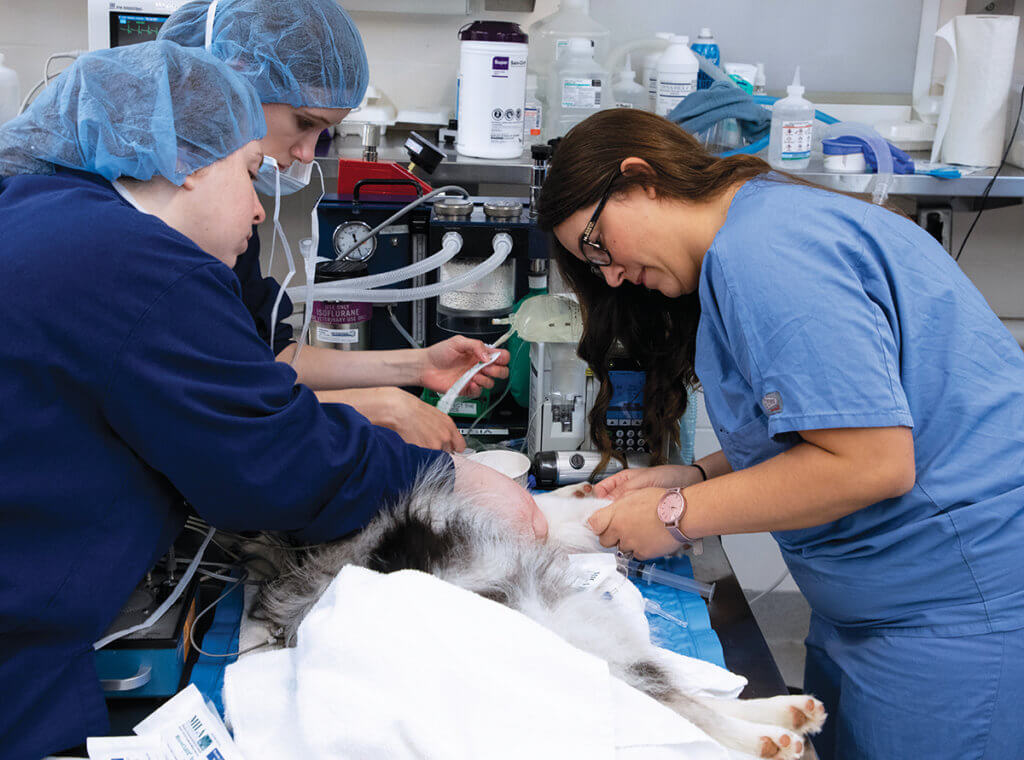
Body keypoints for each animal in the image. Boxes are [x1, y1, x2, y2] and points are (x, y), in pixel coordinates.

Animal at [256, 467, 823, 757]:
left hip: (592, 640)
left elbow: (571, 510)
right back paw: (773, 736)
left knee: (676, 693)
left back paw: (791, 714)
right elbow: (574, 513)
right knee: (679, 704)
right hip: (579, 641)